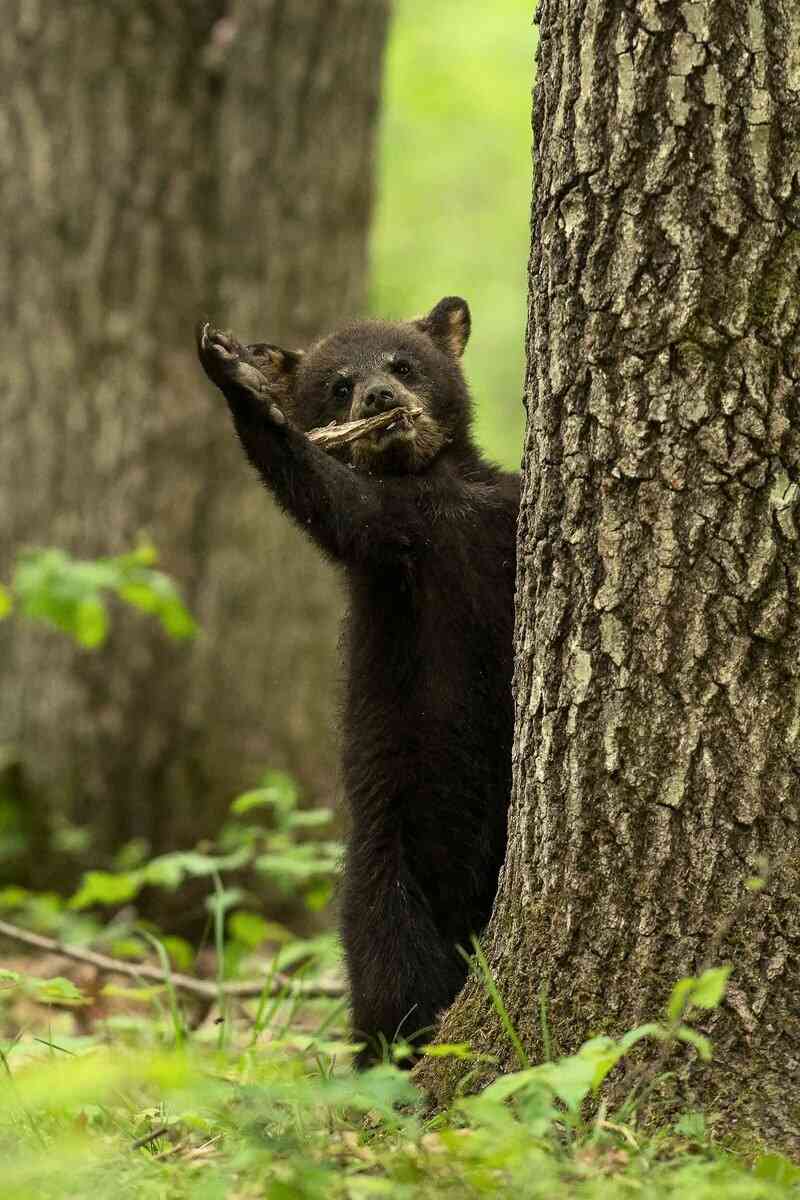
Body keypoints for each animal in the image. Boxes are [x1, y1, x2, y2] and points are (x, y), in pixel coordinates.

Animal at [196, 297, 520, 1066]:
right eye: (338, 385)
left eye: (405, 363)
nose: (379, 398)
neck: (439, 492)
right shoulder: (395, 549)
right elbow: (336, 504)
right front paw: (237, 381)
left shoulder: (496, 515)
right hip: (384, 880)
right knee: (392, 984)